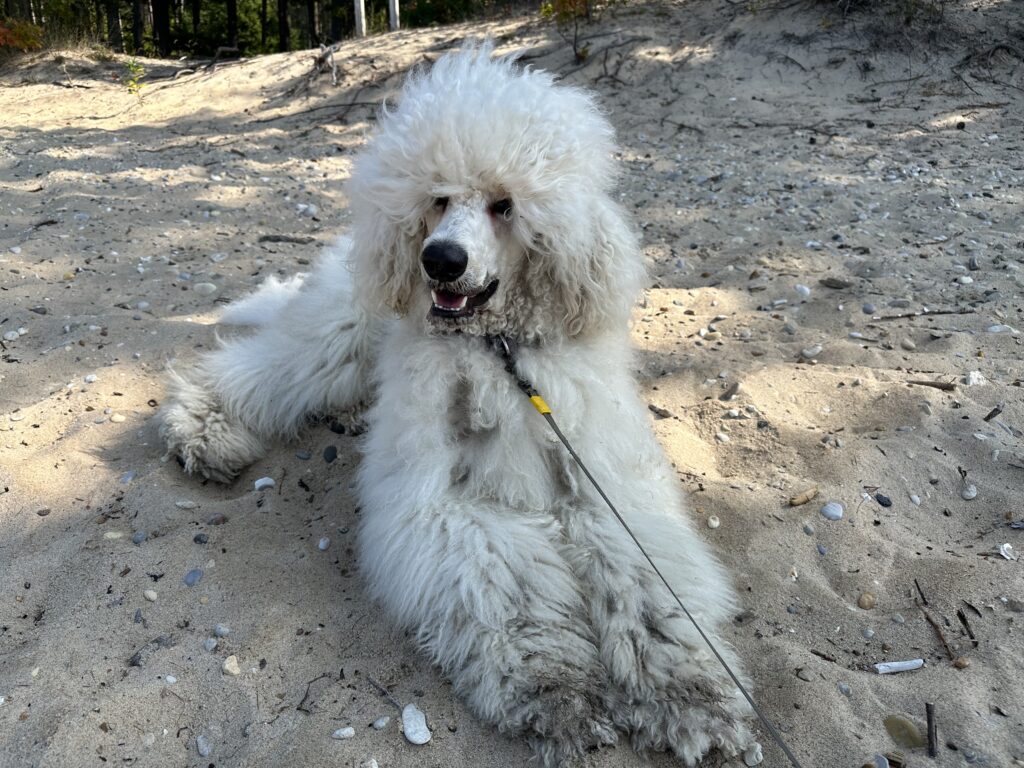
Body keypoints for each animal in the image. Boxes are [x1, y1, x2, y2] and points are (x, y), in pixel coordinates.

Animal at [160, 45, 760, 767]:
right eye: (439, 198)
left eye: (506, 205)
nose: (439, 260)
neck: (494, 348)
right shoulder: (448, 505)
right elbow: (511, 591)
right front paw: (556, 691)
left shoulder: (609, 492)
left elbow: (649, 589)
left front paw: (692, 695)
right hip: (340, 337)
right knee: (254, 370)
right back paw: (203, 431)